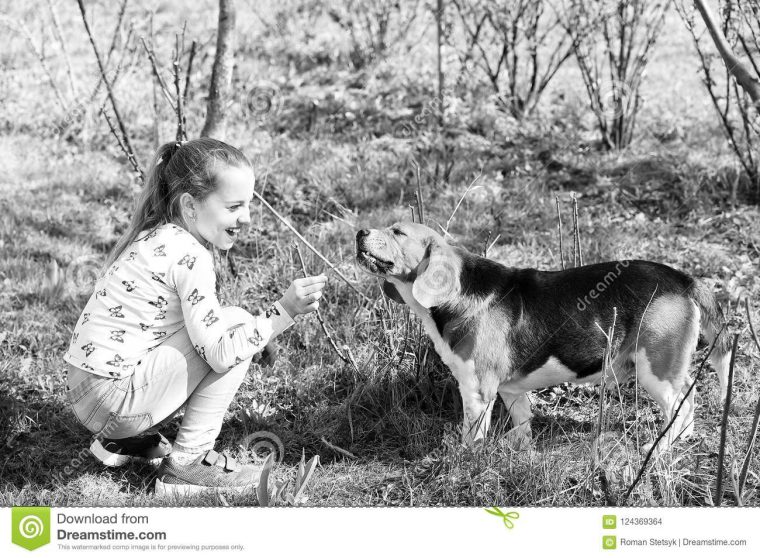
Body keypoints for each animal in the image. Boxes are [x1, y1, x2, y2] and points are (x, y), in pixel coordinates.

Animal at [356, 221, 732, 452]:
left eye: (398, 231)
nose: (359, 231)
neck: (458, 293)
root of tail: (684, 279)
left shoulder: (477, 390)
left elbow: (471, 436)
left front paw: (463, 461)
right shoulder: (510, 390)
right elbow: (523, 423)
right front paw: (519, 450)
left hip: (655, 369)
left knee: (680, 406)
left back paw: (661, 448)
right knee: (688, 398)